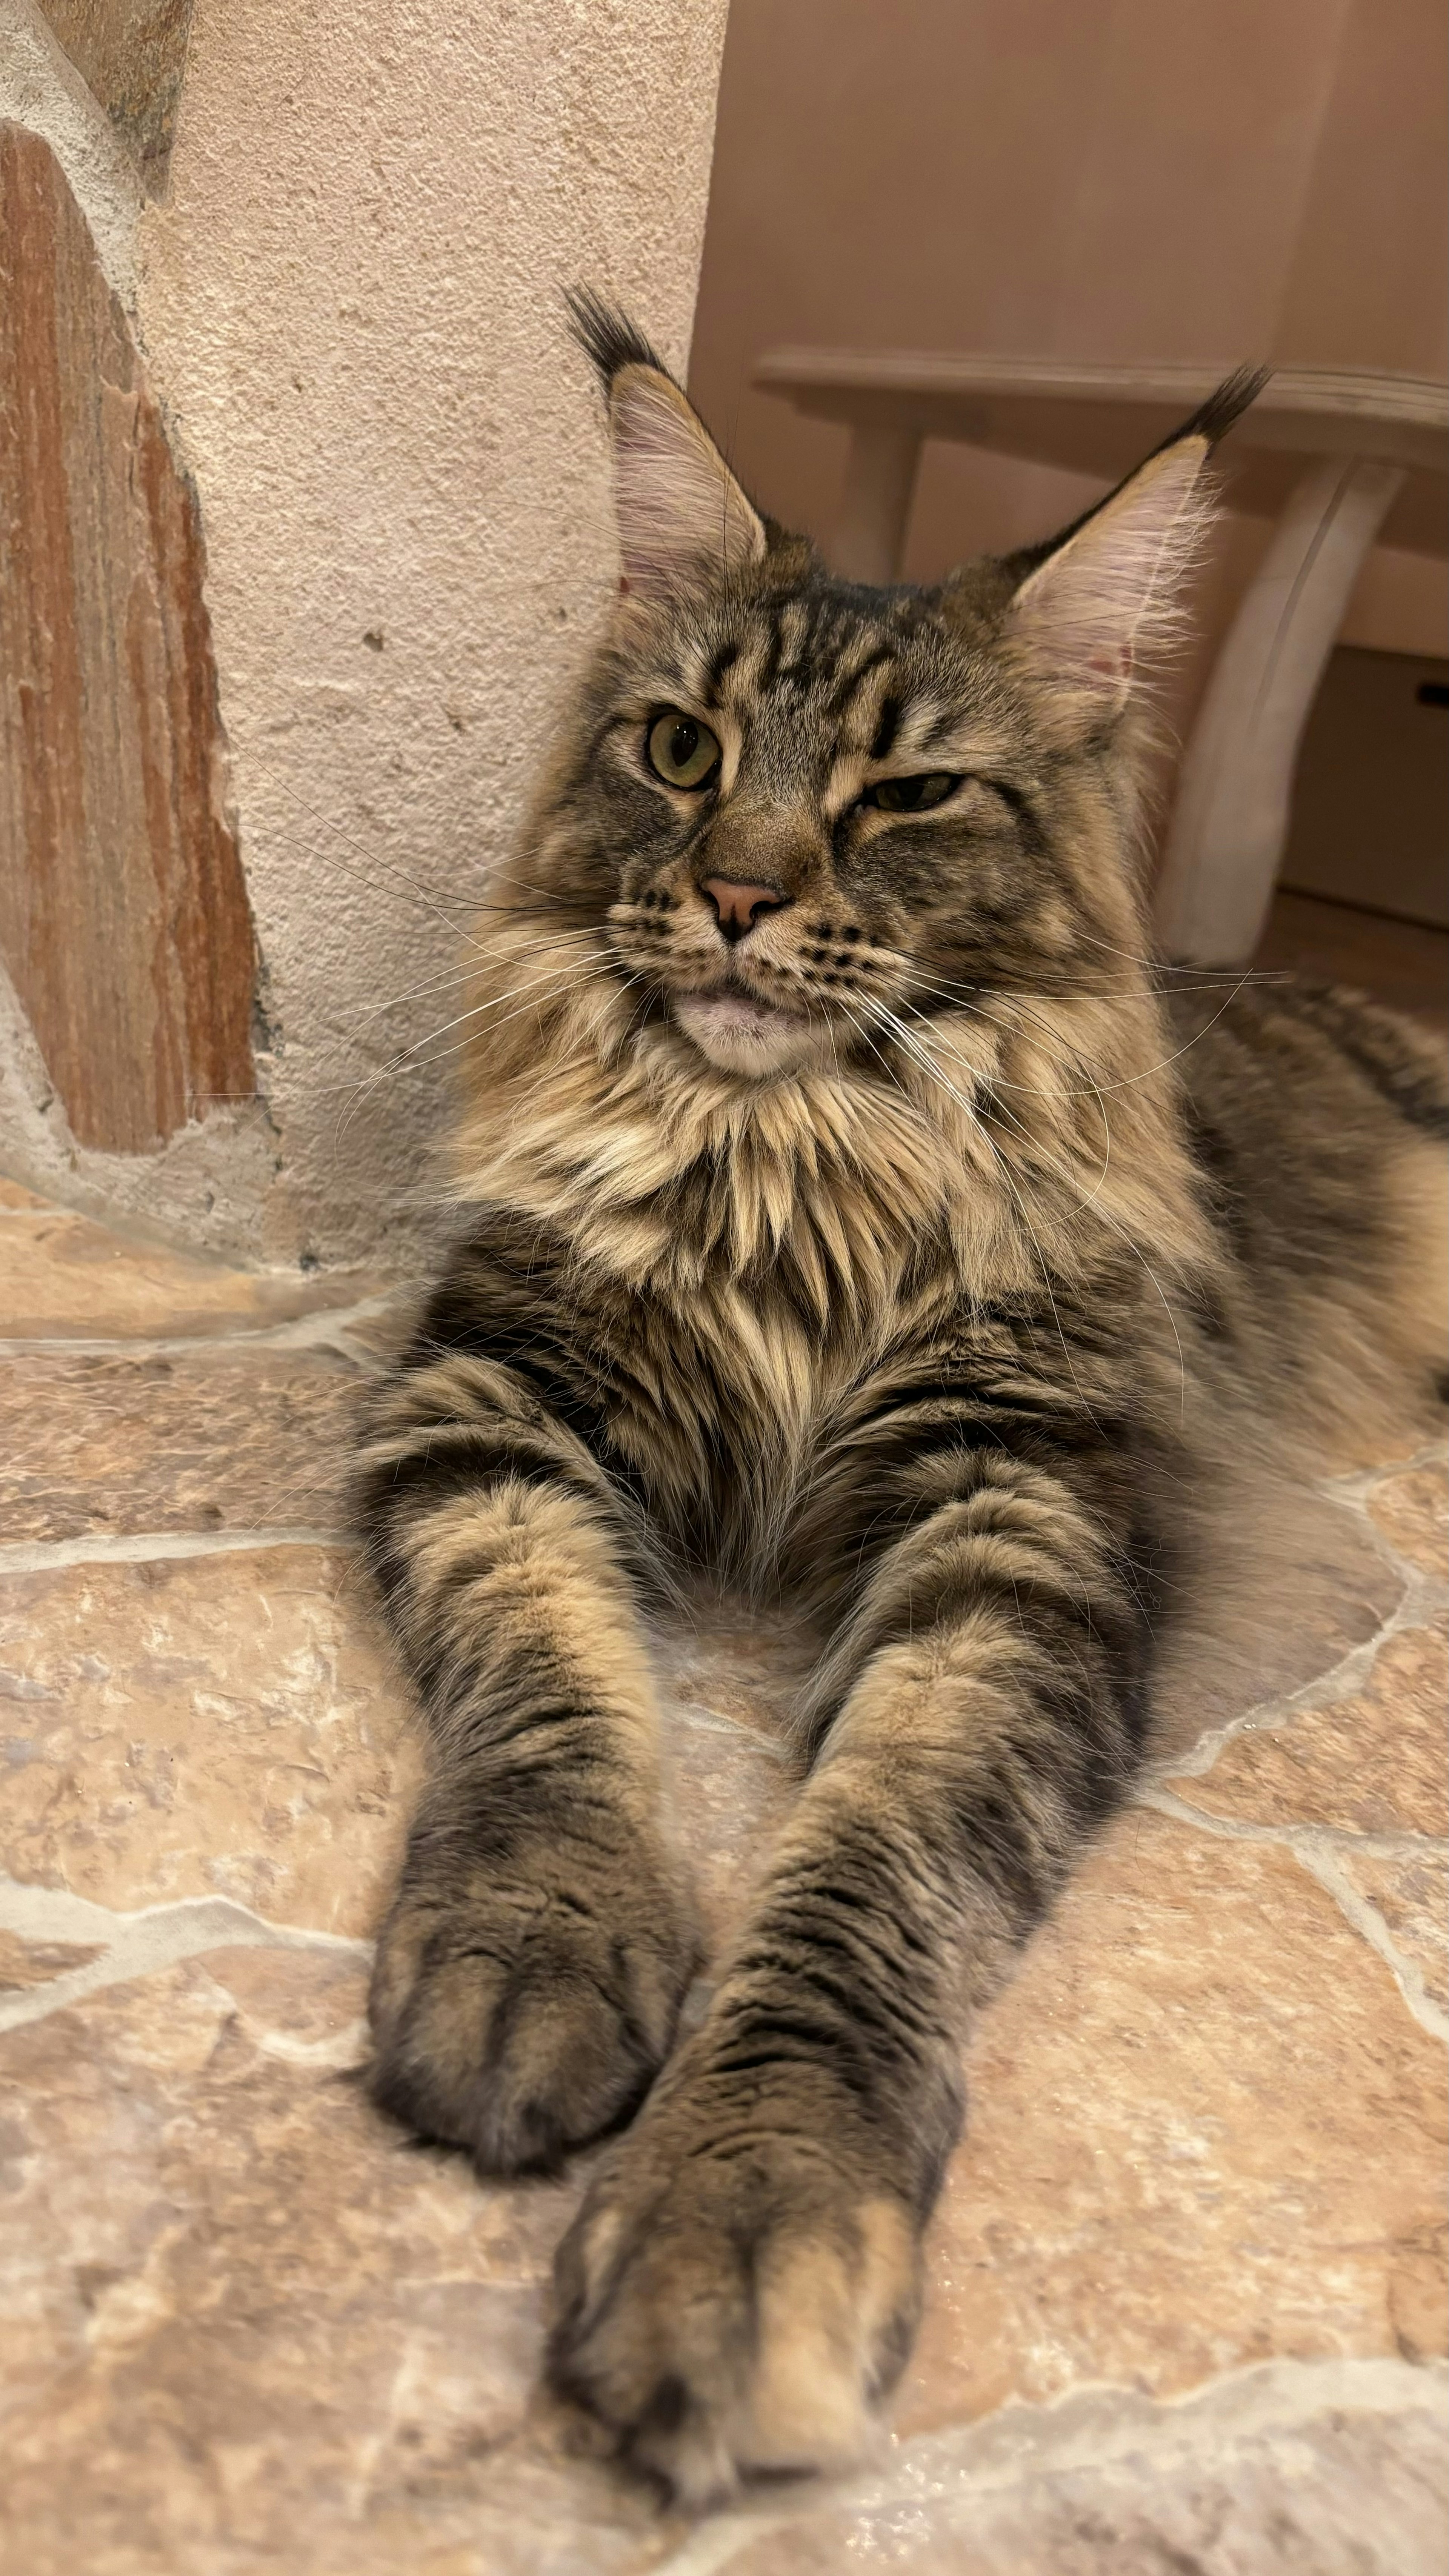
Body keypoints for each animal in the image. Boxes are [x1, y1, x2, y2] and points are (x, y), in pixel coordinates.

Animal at [353, 296, 1444, 2493]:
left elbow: (862, 1880)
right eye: (682, 752)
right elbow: (548, 1698)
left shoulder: (1012, 1521)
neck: (793, 1167)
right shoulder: (496, 1399)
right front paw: (530, 1949)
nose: (742, 894)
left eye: (912, 791)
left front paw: (743, 2212)